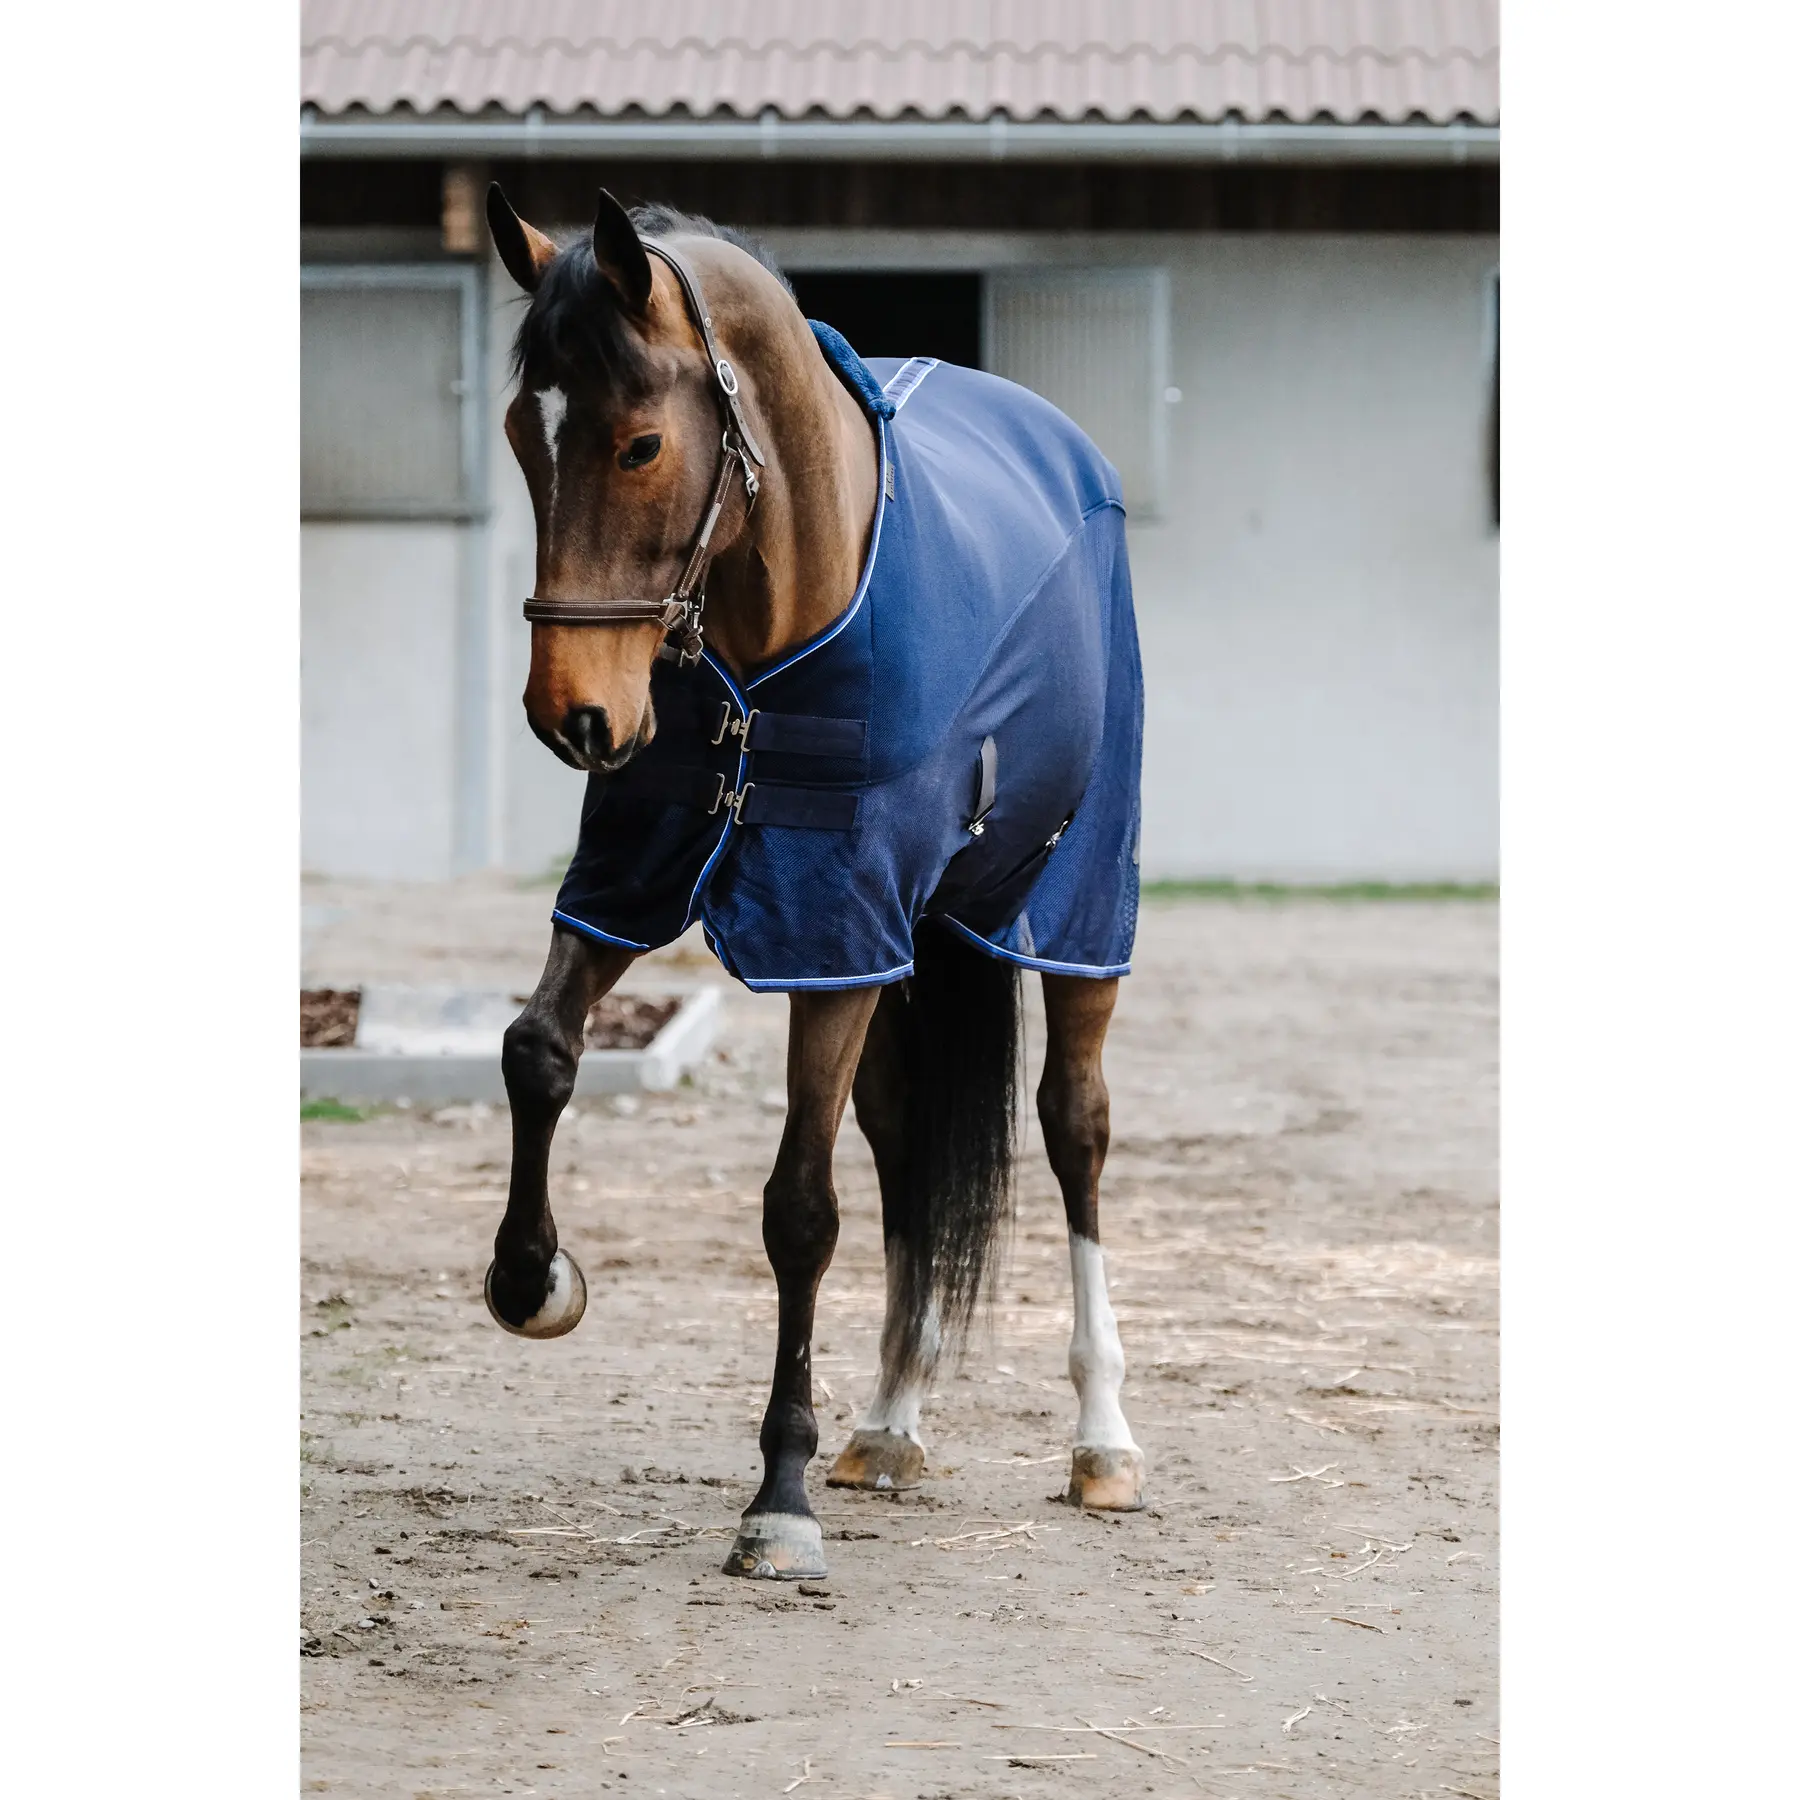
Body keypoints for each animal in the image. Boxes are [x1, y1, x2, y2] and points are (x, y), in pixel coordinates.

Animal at [480, 184, 1148, 1582]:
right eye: (524, 435)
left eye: (638, 445)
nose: (574, 717)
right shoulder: (641, 879)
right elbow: (536, 1050)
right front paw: (533, 1281)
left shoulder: (831, 931)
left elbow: (798, 1206)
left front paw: (777, 1499)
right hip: (909, 943)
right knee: (902, 1139)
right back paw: (889, 1420)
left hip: (1073, 914)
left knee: (1074, 1129)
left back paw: (1103, 1439)